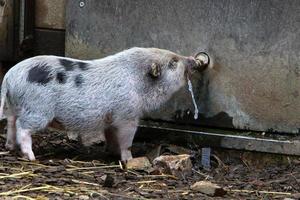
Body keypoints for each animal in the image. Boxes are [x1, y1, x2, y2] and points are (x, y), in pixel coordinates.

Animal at [1, 47, 200, 162]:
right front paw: (129, 159)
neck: (138, 82)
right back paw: (31, 157)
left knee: (11, 122)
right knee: (22, 127)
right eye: (173, 63)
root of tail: (10, 76)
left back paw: (10, 147)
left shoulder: (111, 120)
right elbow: (126, 140)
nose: (193, 60)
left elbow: (111, 136)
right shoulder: (127, 115)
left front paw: (111, 152)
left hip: (15, 105)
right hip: (38, 109)